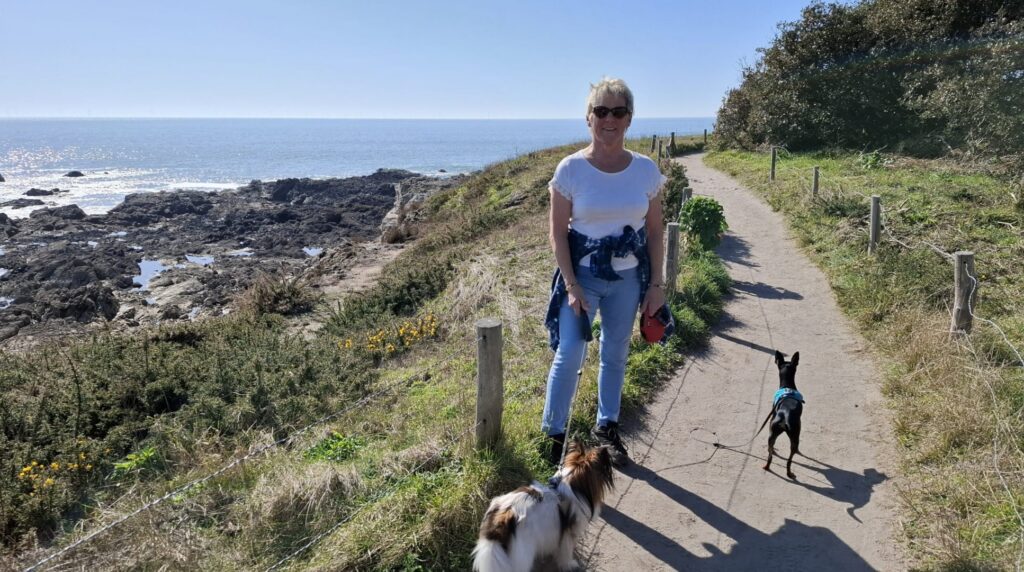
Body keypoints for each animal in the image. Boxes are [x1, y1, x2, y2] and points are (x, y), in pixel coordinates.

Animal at [763, 350, 804, 479]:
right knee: (789, 460)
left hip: (772, 432)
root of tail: (785, 416)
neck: (787, 386)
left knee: (770, 454)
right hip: (794, 437)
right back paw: (789, 473)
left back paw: (767, 466)